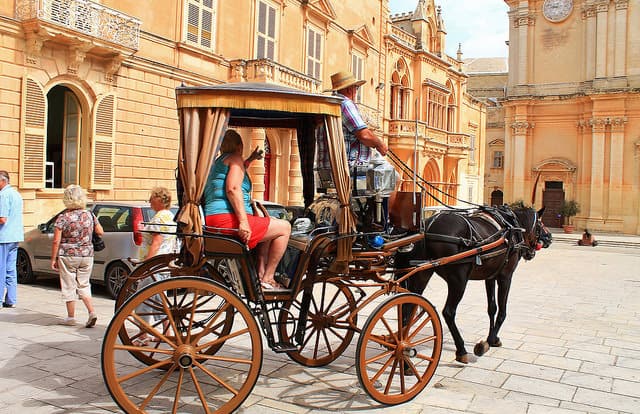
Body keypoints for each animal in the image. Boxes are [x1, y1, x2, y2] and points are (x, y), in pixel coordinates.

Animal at [396, 204, 552, 362]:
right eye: (539, 225)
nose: (549, 238)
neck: (513, 226)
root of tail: (428, 226)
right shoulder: (506, 277)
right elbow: (502, 311)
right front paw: (488, 342)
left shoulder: (490, 277)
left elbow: (492, 308)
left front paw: (493, 339)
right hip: (458, 280)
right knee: (448, 312)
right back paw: (461, 350)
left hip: (421, 274)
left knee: (408, 308)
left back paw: (404, 349)